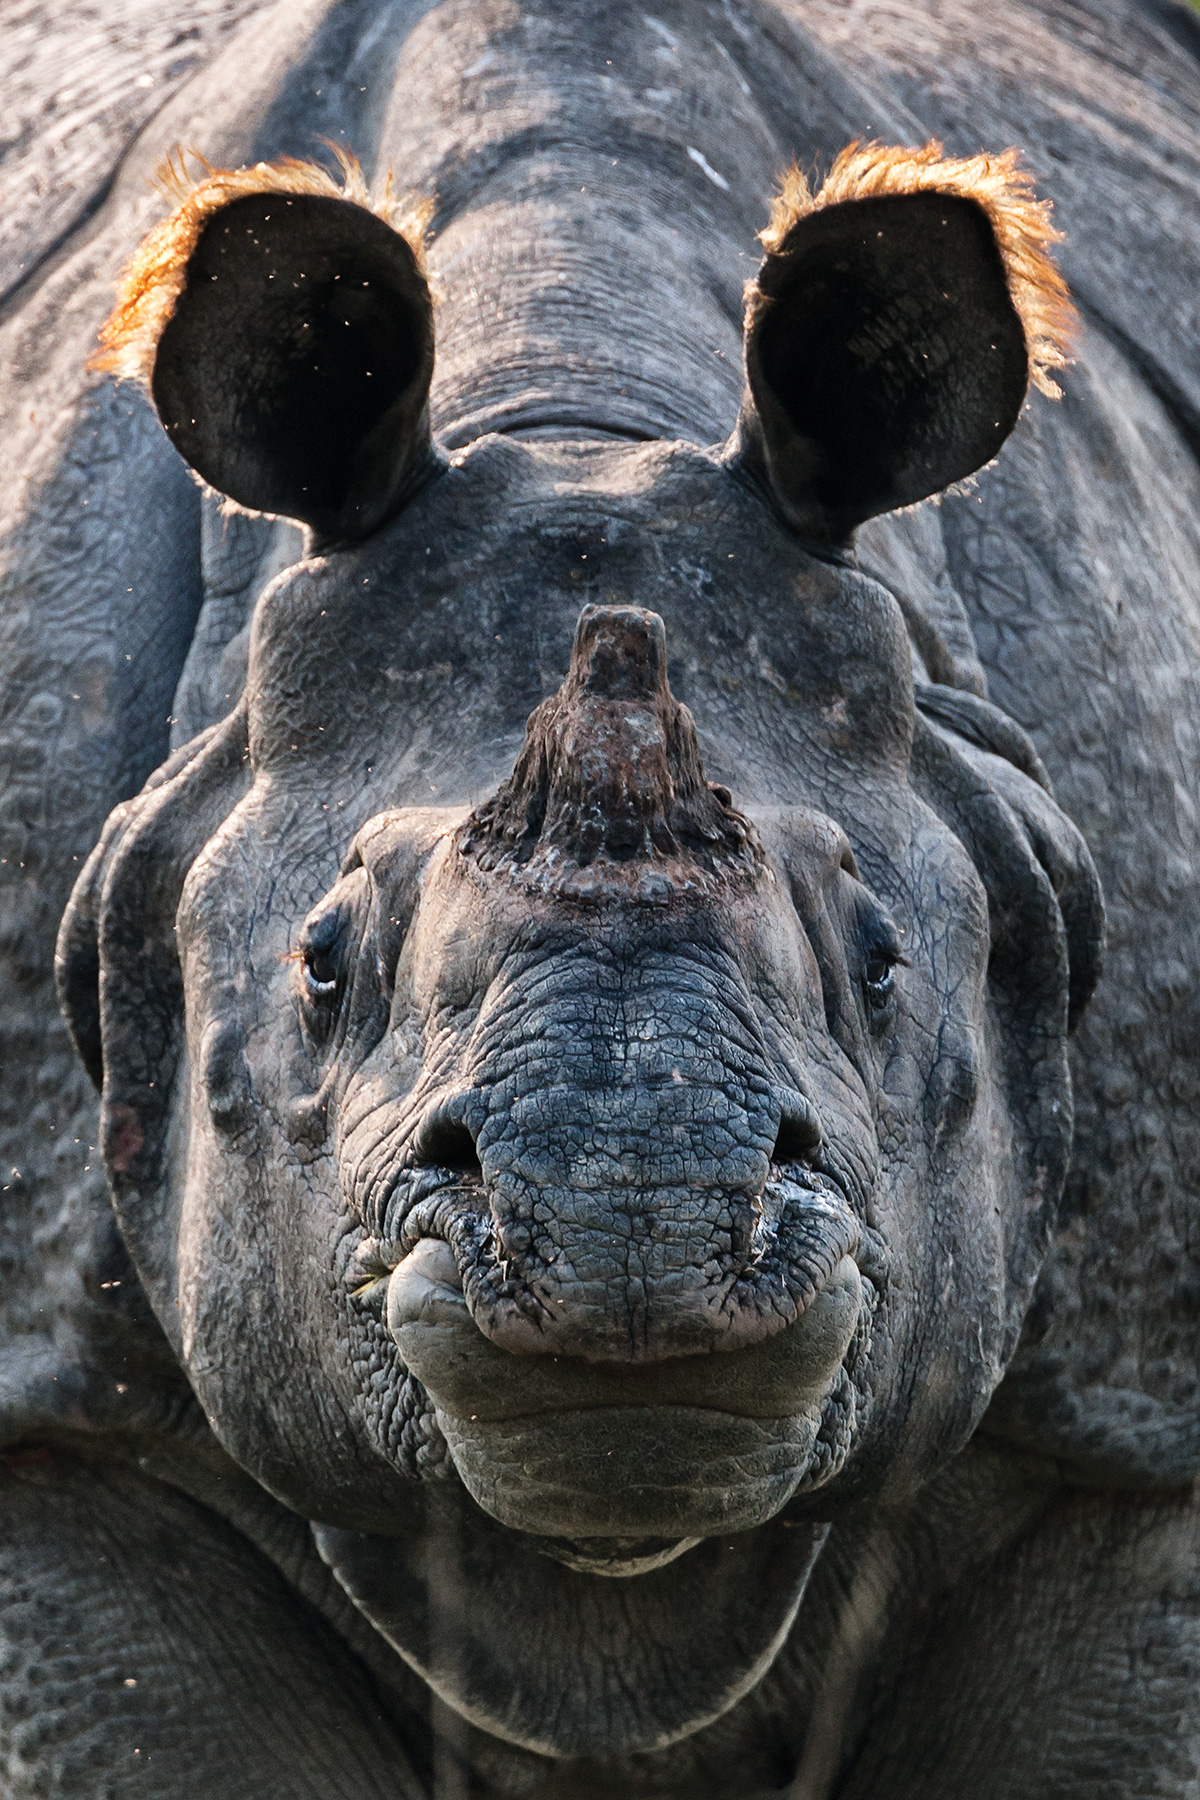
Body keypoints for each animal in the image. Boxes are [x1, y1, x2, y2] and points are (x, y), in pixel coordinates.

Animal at [2, 0, 1200, 1792]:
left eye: (883, 963)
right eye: (320, 969)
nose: (627, 1225)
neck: (573, 418)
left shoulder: (1139, 1407)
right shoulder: (49, 1405)